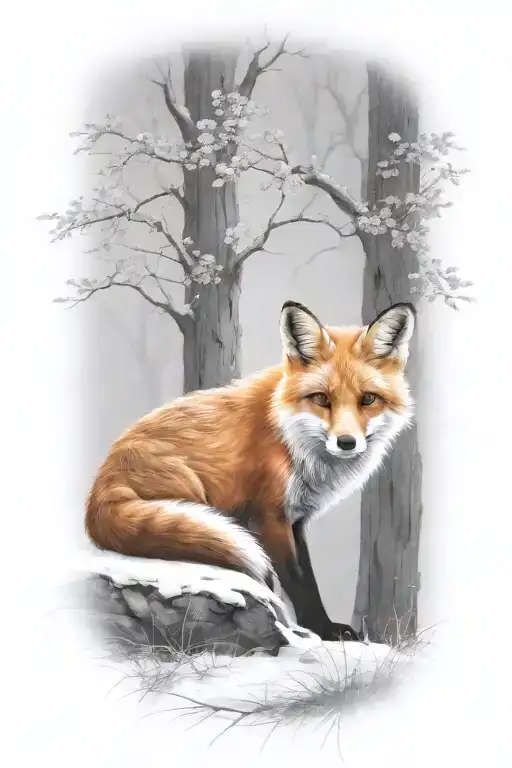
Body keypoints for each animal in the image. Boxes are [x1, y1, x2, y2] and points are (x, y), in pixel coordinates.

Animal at [86, 300, 416, 639]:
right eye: (321, 398)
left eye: (368, 399)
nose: (347, 442)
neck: (289, 436)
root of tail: (100, 489)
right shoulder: (268, 515)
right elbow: (296, 578)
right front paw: (320, 629)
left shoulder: (295, 519)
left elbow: (309, 578)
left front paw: (321, 627)